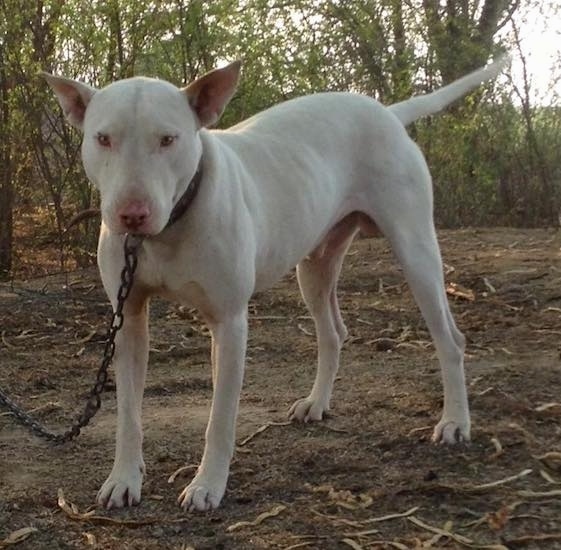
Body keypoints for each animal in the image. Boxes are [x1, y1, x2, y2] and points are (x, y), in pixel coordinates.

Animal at [43, 57, 506, 512]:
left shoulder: (230, 323)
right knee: (333, 333)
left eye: (168, 139)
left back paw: (454, 422)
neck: (169, 228)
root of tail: (386, 113)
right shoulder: (129, 318)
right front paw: (124, 479)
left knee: (449, 338)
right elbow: (128, 414)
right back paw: (317, 403)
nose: (132, 214)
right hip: (315, 266)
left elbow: (220, 418)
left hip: (416, 252)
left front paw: (208, 485)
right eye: (103, 138)